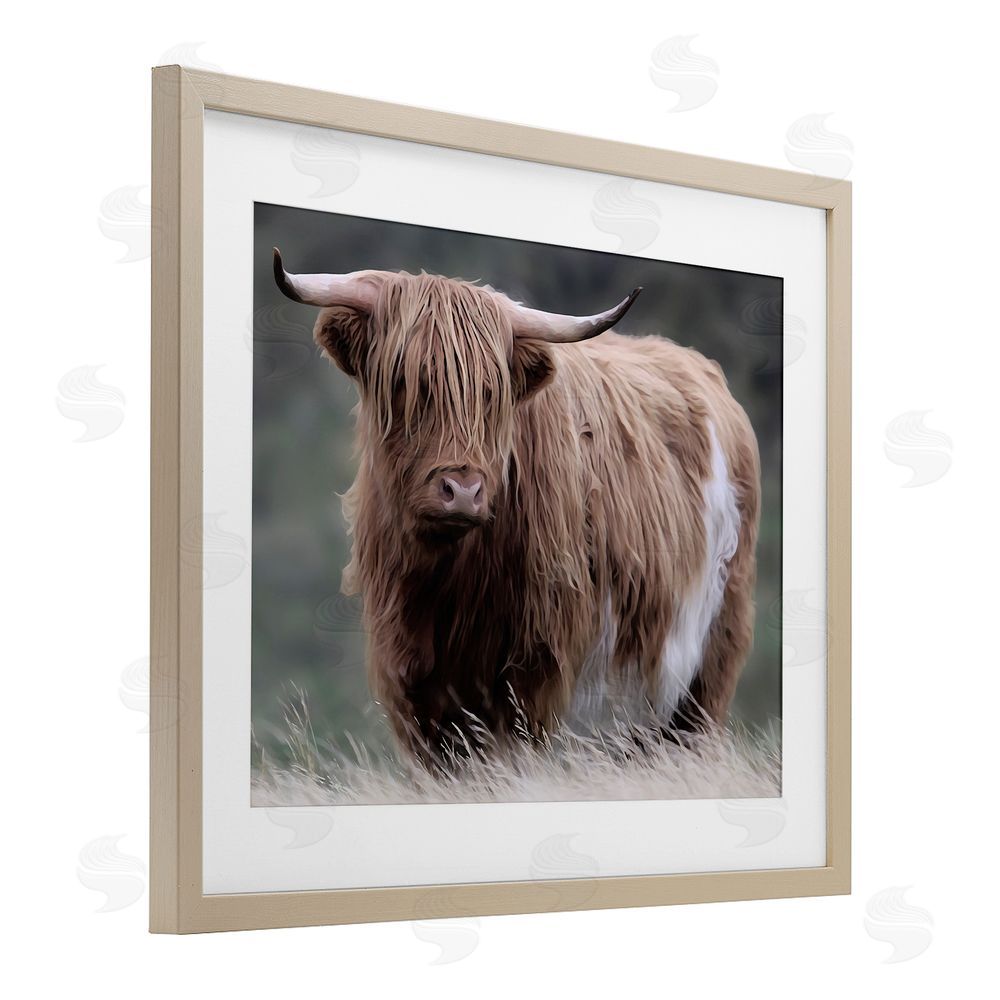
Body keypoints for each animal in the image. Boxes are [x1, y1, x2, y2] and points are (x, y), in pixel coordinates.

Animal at [273, 249, 761, 765]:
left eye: (492, 392)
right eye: (404, 380)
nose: (462, 489)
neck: (447, 584)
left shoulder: (535, 675)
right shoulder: (411, 682)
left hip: (707, 662)